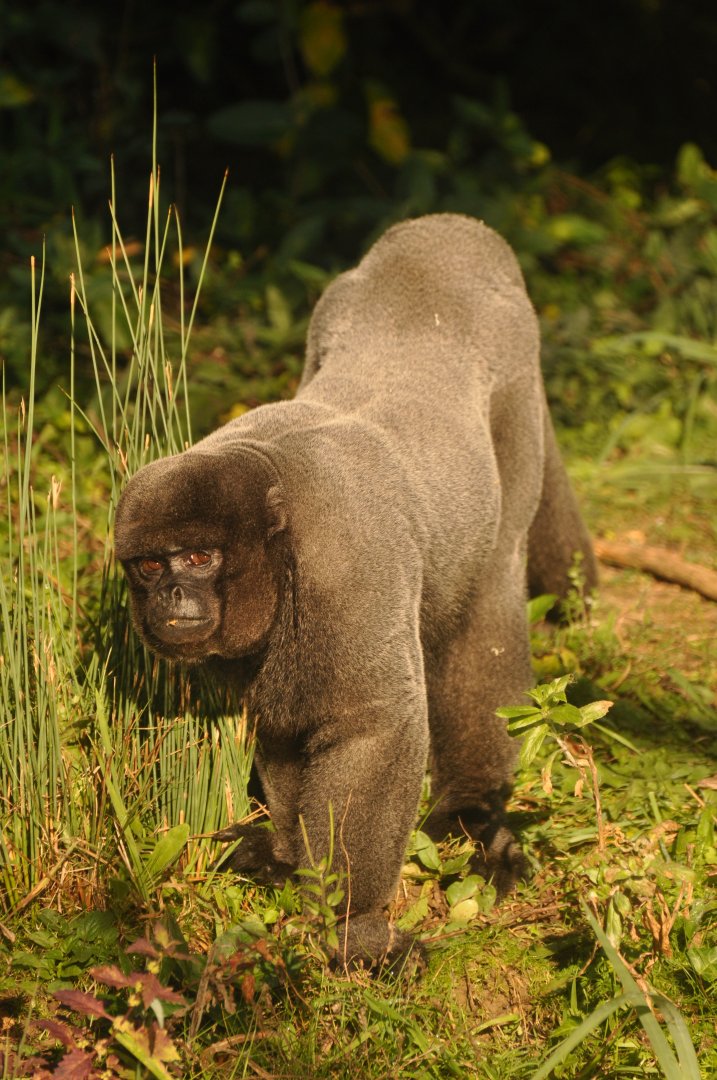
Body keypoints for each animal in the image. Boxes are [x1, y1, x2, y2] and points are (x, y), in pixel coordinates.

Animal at [115, 214, 597, 966]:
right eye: (148, 567)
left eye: (197, 556)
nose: (172, 600)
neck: (275, 504)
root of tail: (447, 233)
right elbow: (287, 725)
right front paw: (285, 858)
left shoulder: (345, 559)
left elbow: (372, 726)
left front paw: (356, 926)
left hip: (516, 378)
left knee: (488, 592)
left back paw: (475, 808)